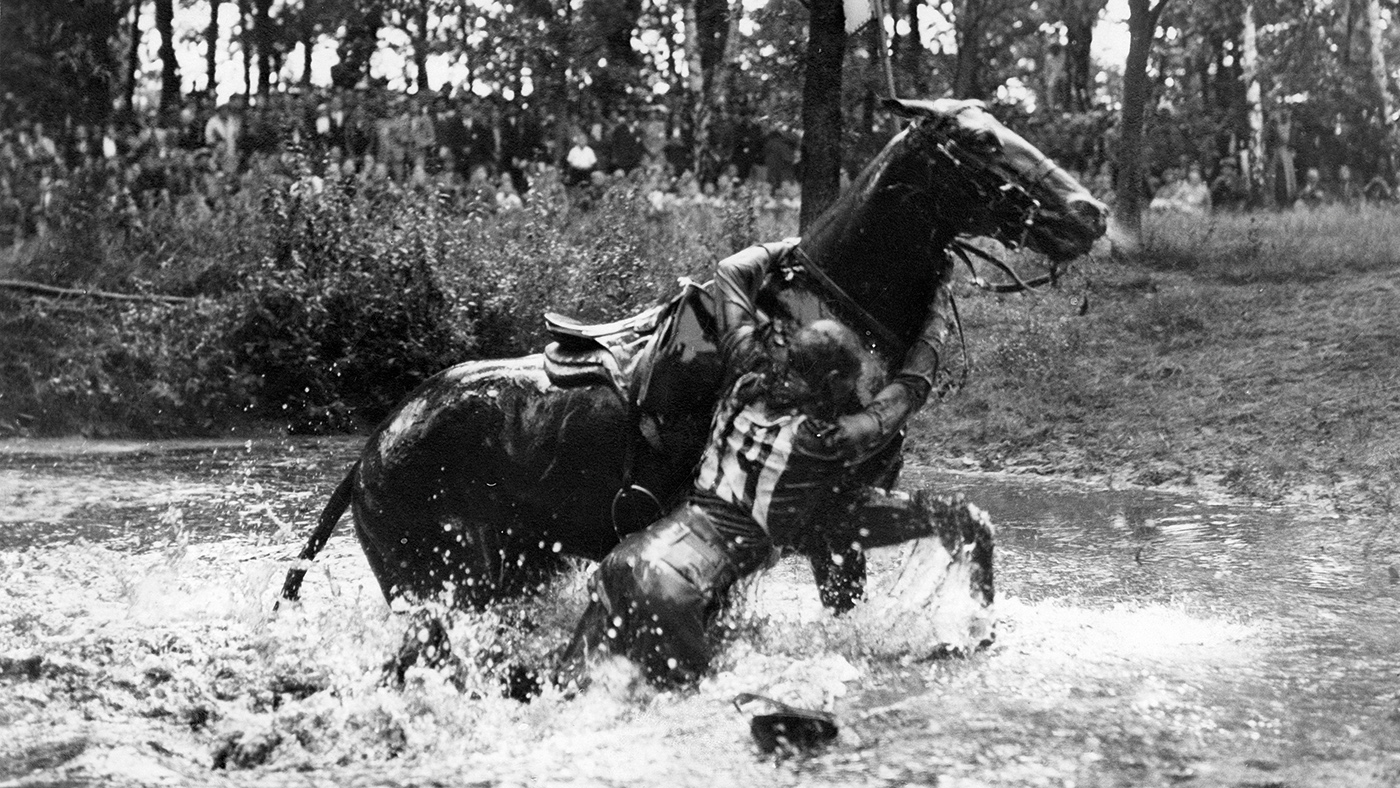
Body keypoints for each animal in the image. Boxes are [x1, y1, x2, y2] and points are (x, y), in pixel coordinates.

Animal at [279, 98, 1108, 611]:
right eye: (980, 143)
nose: (1089, 211)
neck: (831, 316)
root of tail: (373, 451)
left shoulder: (844, 518)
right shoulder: (815, 517)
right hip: (445, 588)